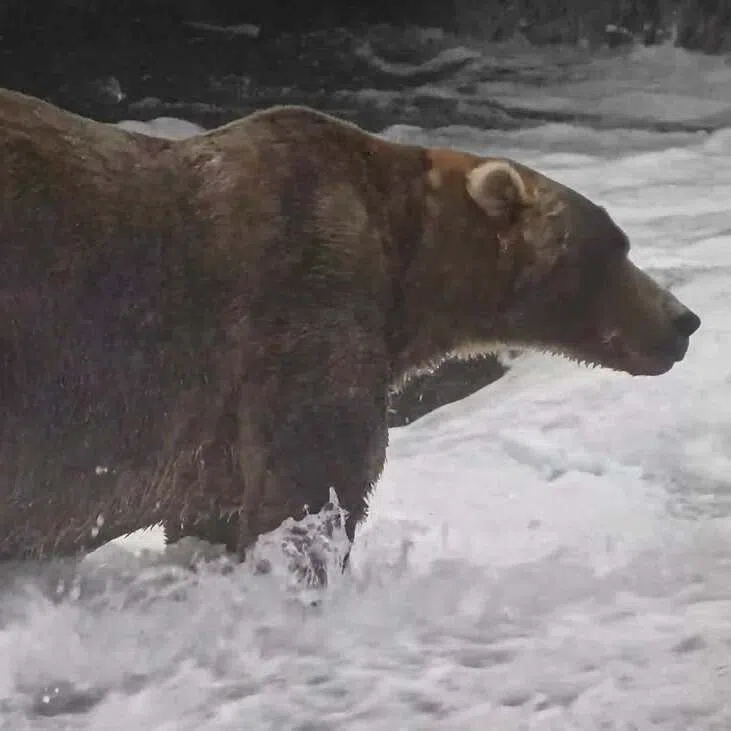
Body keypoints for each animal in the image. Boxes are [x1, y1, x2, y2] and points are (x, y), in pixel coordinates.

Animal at [0, 86, 700, 565]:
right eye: (614, 246)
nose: (685, 320)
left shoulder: (215, 433)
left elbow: (214, 510)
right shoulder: (303, 301)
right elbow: (314, 480)